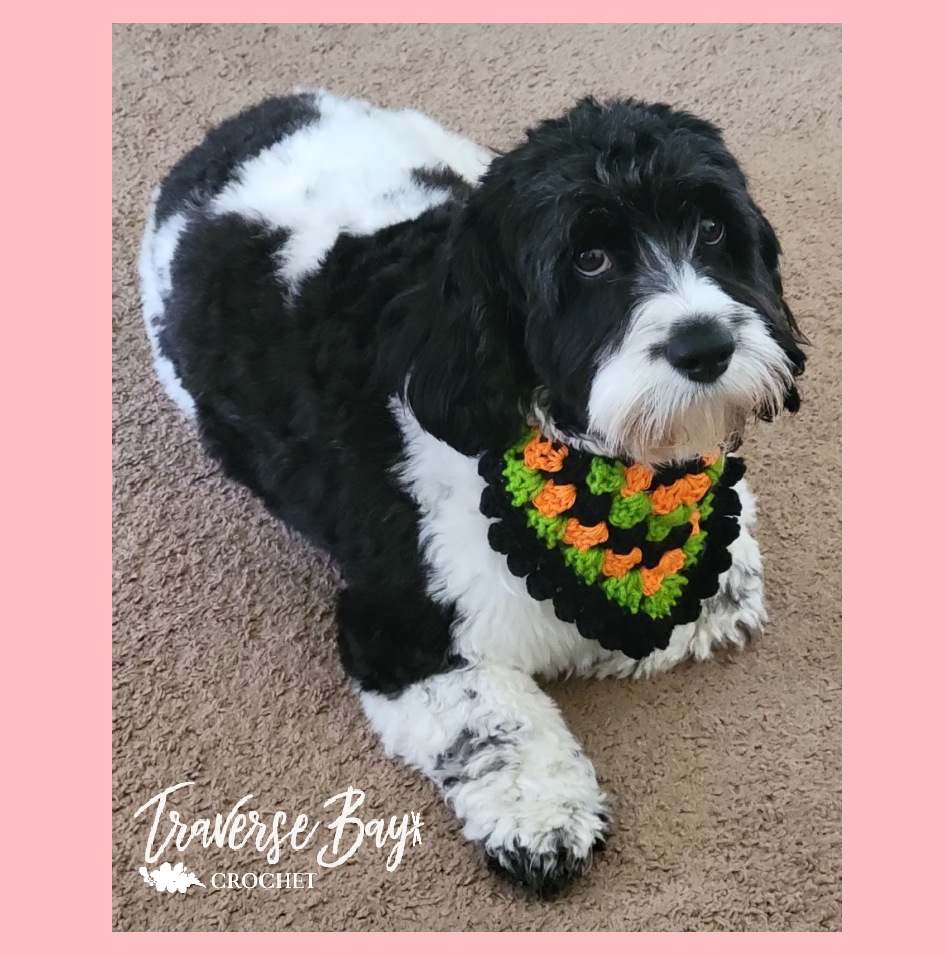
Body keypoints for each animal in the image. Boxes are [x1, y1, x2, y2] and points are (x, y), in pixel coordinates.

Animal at [141, 89, 808, 896]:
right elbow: (490, 716)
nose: (705, 345)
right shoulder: (400, 627)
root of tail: (244, 123)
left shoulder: (716, 569)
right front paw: (544, 815)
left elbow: (712, 597)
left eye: (712, 229)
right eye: (588, 259)